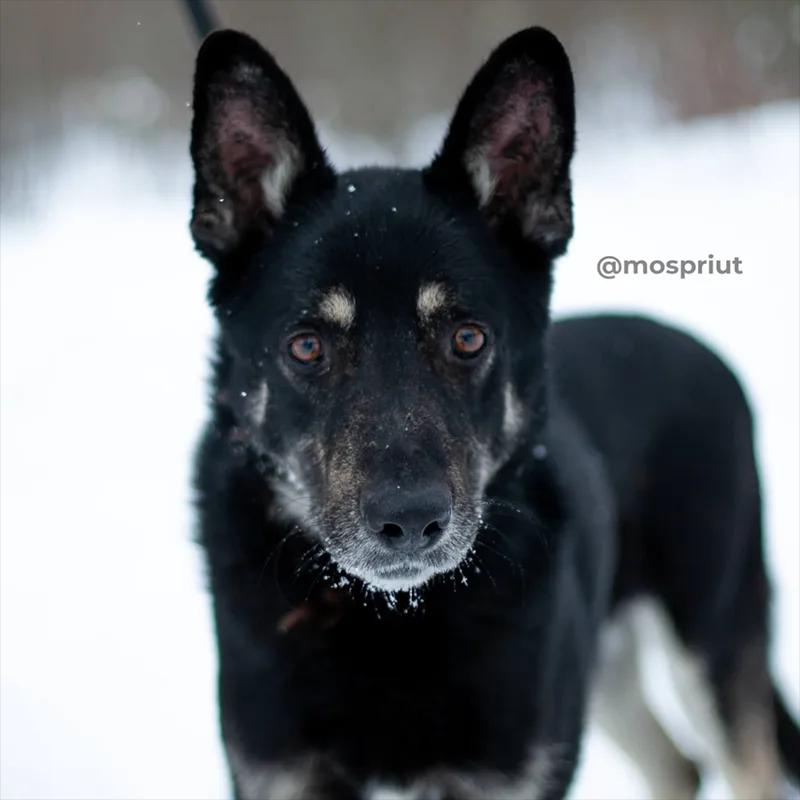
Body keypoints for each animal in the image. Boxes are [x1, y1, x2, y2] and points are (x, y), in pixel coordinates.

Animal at [189, 26, 800, 800]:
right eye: (306, 346)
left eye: (468, 337)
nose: (410, 522)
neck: (390, 622)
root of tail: (697, 348)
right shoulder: (281, 777)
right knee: (678, 766)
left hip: (711, 646)